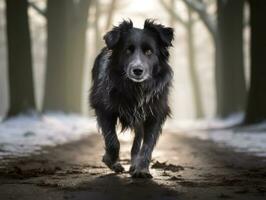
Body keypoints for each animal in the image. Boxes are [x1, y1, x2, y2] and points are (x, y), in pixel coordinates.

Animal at [89, 19, 172, 178]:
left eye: (149, 51)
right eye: (127, 50)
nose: (137, 70)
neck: (135, 87)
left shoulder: (155, 113)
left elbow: (148, 144)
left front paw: (142, 169)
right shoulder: (104, 108)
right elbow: (112, 141)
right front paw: (111, 161)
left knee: (138, 138)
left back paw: (134, 163)